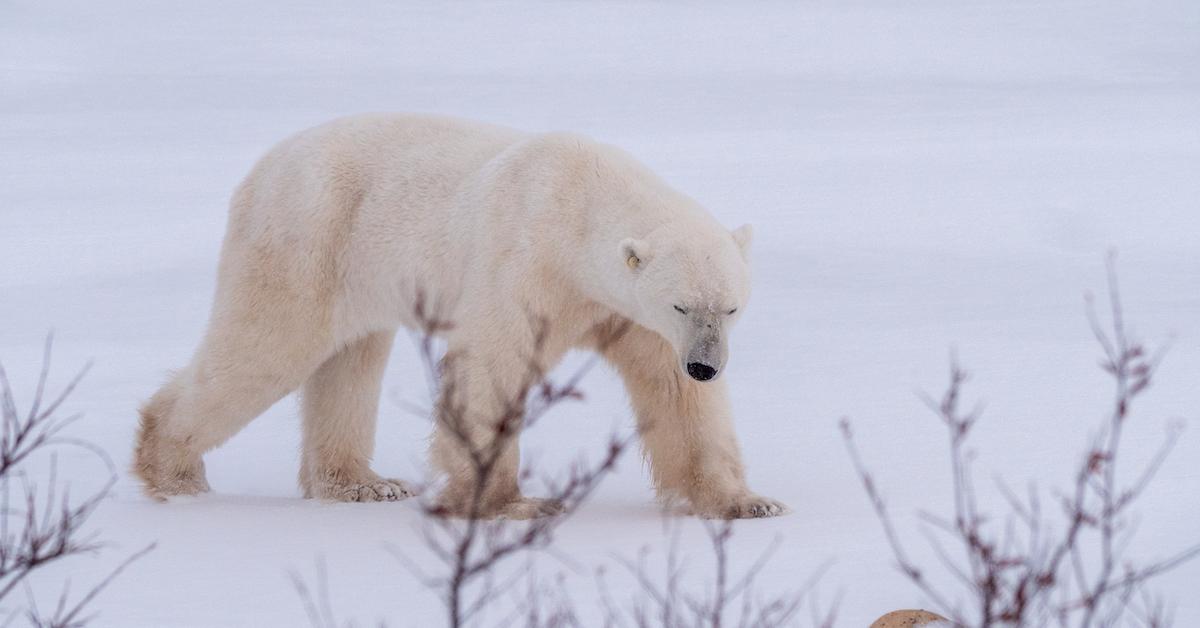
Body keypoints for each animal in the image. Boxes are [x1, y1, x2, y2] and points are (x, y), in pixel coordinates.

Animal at [133, 112, 787, 521]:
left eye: (730, 307)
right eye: (682, 303)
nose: (706, 365)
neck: (582, 207)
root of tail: (262, 166)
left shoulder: (628, 314)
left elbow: (675, 397)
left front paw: (747, 503)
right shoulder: (529, 261)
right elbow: (492, 367)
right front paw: (511, 504)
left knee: (350, 361)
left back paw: (364, 484)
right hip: (308, 235)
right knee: (268, 347)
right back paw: (174, 474)